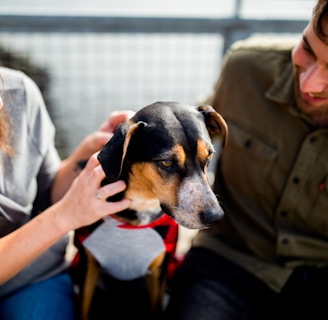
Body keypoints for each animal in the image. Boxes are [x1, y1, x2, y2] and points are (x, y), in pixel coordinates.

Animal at [74, 101, 228, 318]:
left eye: (209, 157)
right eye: (166, 162)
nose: (215, 216)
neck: (143, 205)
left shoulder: (159, 273)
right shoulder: (87, 267)